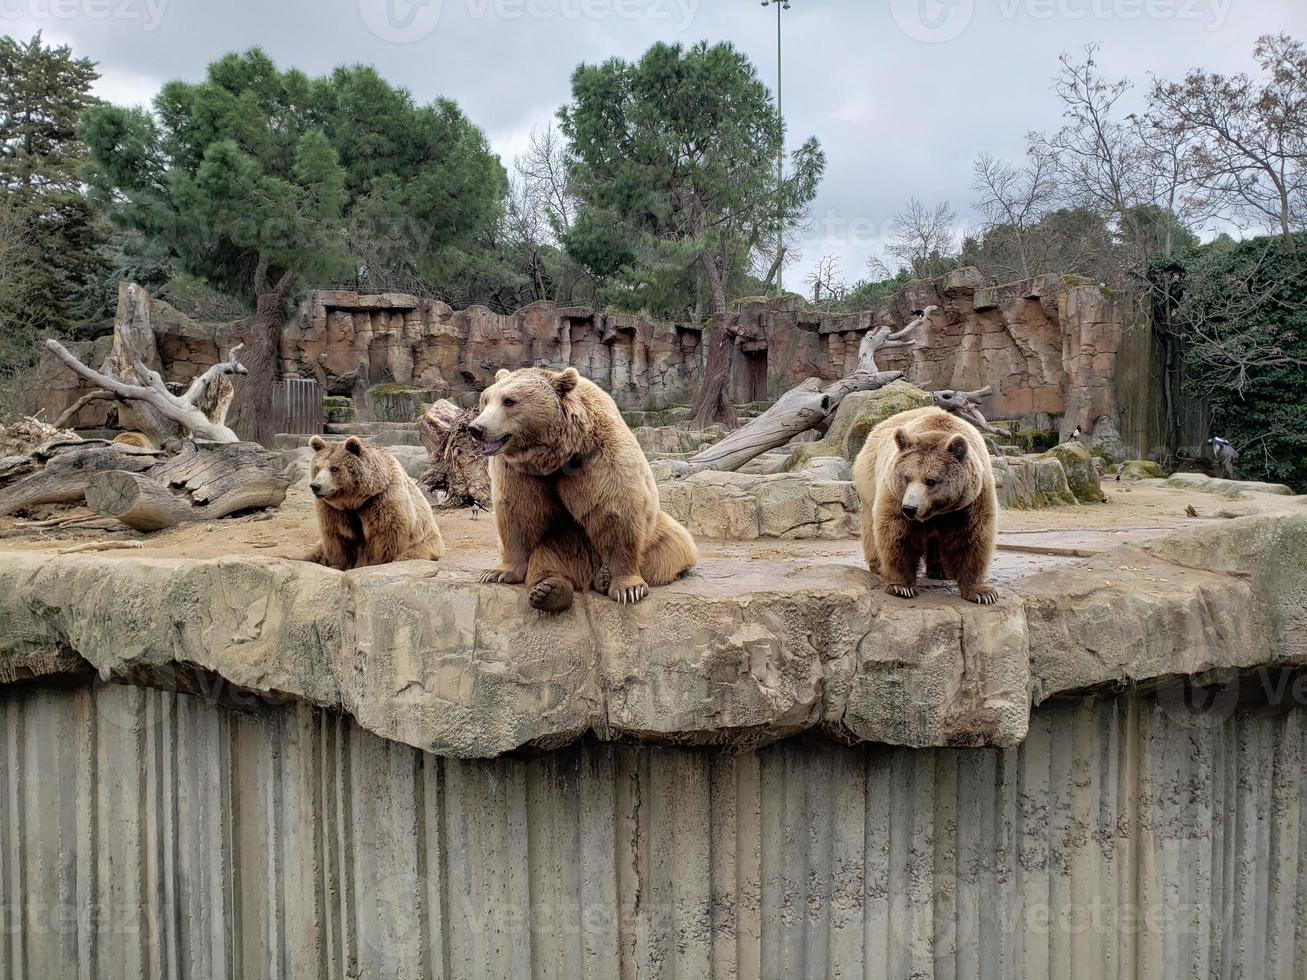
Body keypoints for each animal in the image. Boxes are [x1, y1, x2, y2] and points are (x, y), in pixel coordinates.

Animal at [303, 436, 446, 572]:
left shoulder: (381, 500)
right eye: (317, 468)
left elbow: (385, 536)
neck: (356, 500)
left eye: (334, 468)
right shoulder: (333, 510)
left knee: (411, 553)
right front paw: (338, 564)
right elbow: (338, 537)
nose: (315, 486)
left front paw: (377, 562)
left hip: (425, 541)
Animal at [467, 368, 695, 614]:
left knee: (671, 544)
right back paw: (551, 591)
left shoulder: (598, 458)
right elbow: (518, 513)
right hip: (562, 544)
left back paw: (603, 577)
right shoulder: (517, 471)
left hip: (654, 533)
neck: (554, 457)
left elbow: (615, 512)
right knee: (546, 557)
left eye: (509, 401)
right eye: (486, 400)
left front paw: (628, 588)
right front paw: (497, 572)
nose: (476, 428)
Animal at [846, 407, 998, 606]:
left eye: (931, 481)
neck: (938, 510)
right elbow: (896, 533)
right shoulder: (895, 494)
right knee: (871, 527)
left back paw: (940, 571)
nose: (910, 508)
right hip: (869, 479)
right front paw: (902, 586)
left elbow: (972, 538)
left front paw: (982, 593)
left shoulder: (971, 501)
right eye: (907, 477)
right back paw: (878, 566)